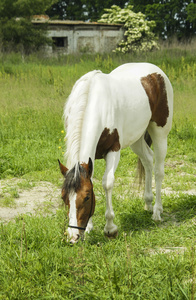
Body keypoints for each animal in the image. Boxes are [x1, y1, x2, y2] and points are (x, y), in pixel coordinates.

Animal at [58, 62, 173, 244]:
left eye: (87, 197)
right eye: (64, 197)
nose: (73, 237)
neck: (94, 102)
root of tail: (156, 72)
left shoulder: (113, 150)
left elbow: (107, 183)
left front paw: (110, 228)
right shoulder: (91, 159)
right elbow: (92, 180)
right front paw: (89, 227)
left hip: (160, 133)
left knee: (158, 170)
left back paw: (157, 211)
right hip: (136, 138)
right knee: (148, 160)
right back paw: (148, 203)